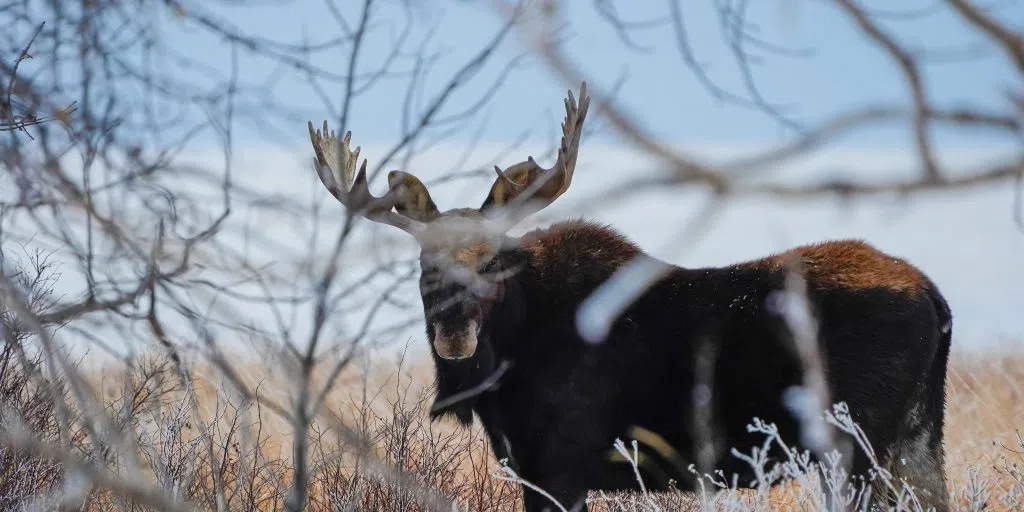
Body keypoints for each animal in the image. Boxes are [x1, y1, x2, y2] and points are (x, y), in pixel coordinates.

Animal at [306, 83, 952, 512]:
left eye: (492, 262)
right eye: (424, 265)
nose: (454, 334)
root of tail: (936, 299)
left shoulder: (559, 464)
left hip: (856, 448)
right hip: (917, 442)